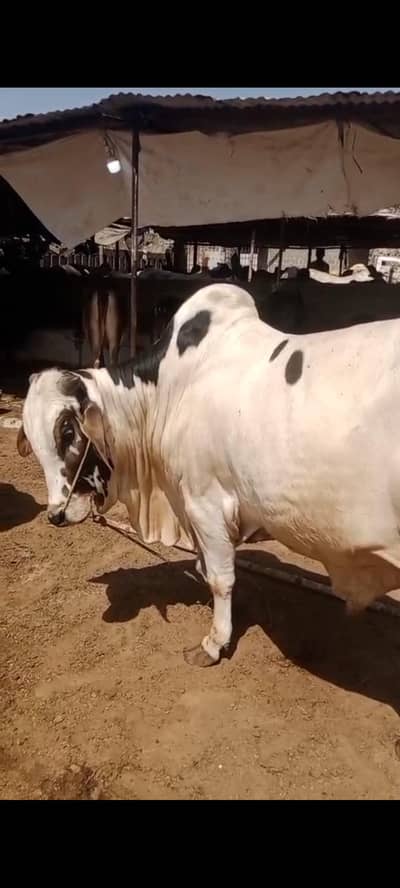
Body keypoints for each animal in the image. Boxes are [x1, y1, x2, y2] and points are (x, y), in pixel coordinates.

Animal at [17, 283, 400, 666]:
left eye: (68, 431)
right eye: (33, 440)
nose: (56, 514)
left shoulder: (206, 504)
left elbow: (219, 578)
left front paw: (214, 643)